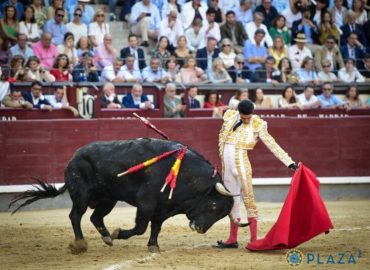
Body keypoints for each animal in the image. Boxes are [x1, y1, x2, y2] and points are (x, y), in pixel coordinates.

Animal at [9, 138, 243, 254]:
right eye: (213, 206)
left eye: (221, 214)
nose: (201, 228)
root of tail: (74, 157)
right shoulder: (146, 203)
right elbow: (140, 227)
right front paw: (119, 233)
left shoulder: (163, 208)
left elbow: (155, 227)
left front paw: (153, 246)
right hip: (82, 195)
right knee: (76, 216)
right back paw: (81, 244)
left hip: (107, 199)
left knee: (95, 217)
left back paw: (106, 238)